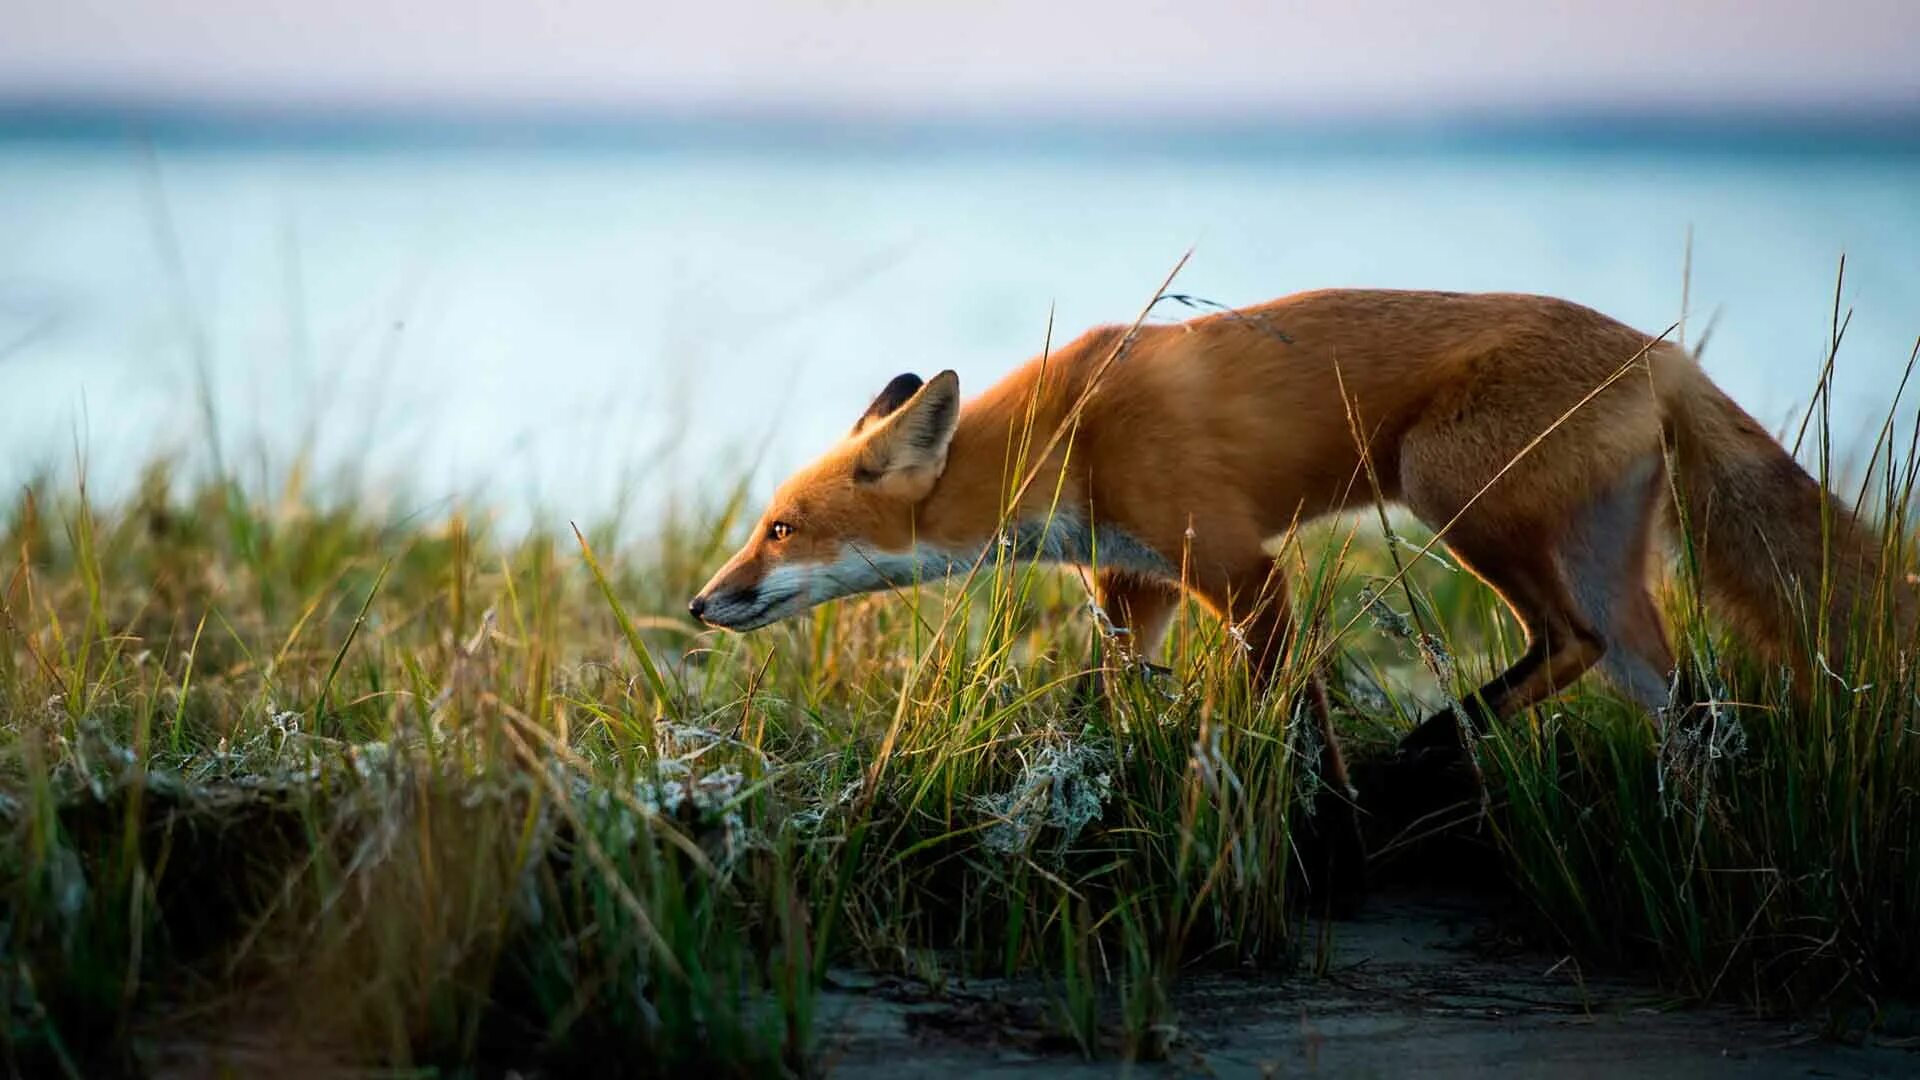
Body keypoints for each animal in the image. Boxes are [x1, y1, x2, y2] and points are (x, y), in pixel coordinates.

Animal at [691, 286, 1904, 772]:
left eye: (780, 529)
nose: (701, 604)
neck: (1070, 430)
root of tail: (1660, 351)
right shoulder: (1138, 585)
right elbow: (1105, 696)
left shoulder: (1238, 565)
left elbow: (1290, 701)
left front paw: (1315, 794)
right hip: (1602, 558)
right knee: (1674, 690)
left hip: (1451, 490)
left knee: (1576, 642)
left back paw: (1436, 742)